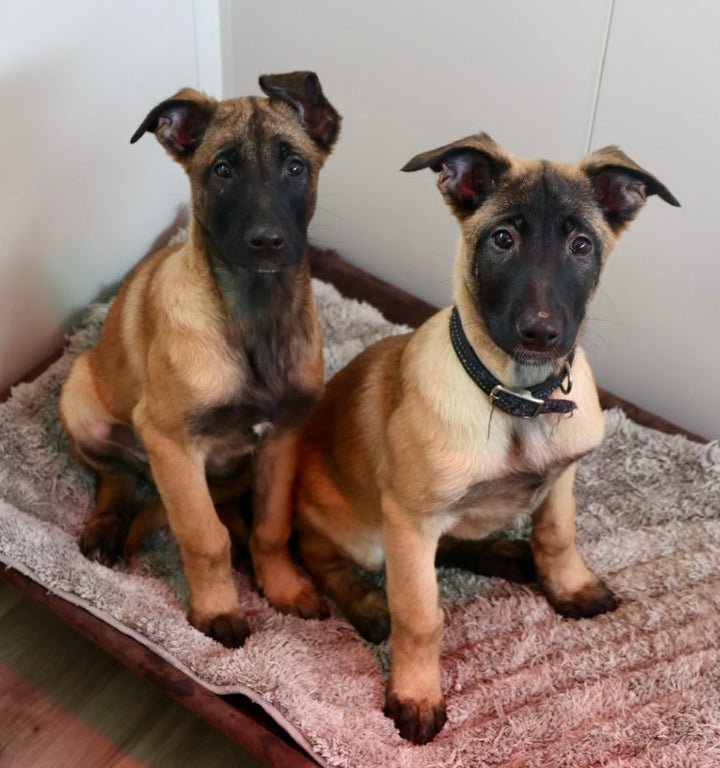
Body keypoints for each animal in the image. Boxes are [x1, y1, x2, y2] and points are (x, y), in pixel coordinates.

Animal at [59, 71, 341, 648]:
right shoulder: (170, 441)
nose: (267, 242)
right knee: (115, 479)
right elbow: (204, 536)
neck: (253, 317)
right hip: (82, 403)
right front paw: (216, 610)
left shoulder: (282, 437)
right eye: (223, 169)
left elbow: (272, 526)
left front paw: (281, 586)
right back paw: (105, 528)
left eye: (295, 166)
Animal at [293, 132, 679, 743]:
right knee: (320, 556)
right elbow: (421, 615)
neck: (518, 397)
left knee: (453, 543)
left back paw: (504, 554)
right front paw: (416, 692)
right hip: (357, 527)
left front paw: (568, 585)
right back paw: (369, 603)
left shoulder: (562, 476)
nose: (541, 333)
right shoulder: (409, 518)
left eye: (581, 245)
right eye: (503, 239)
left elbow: (557, 533)